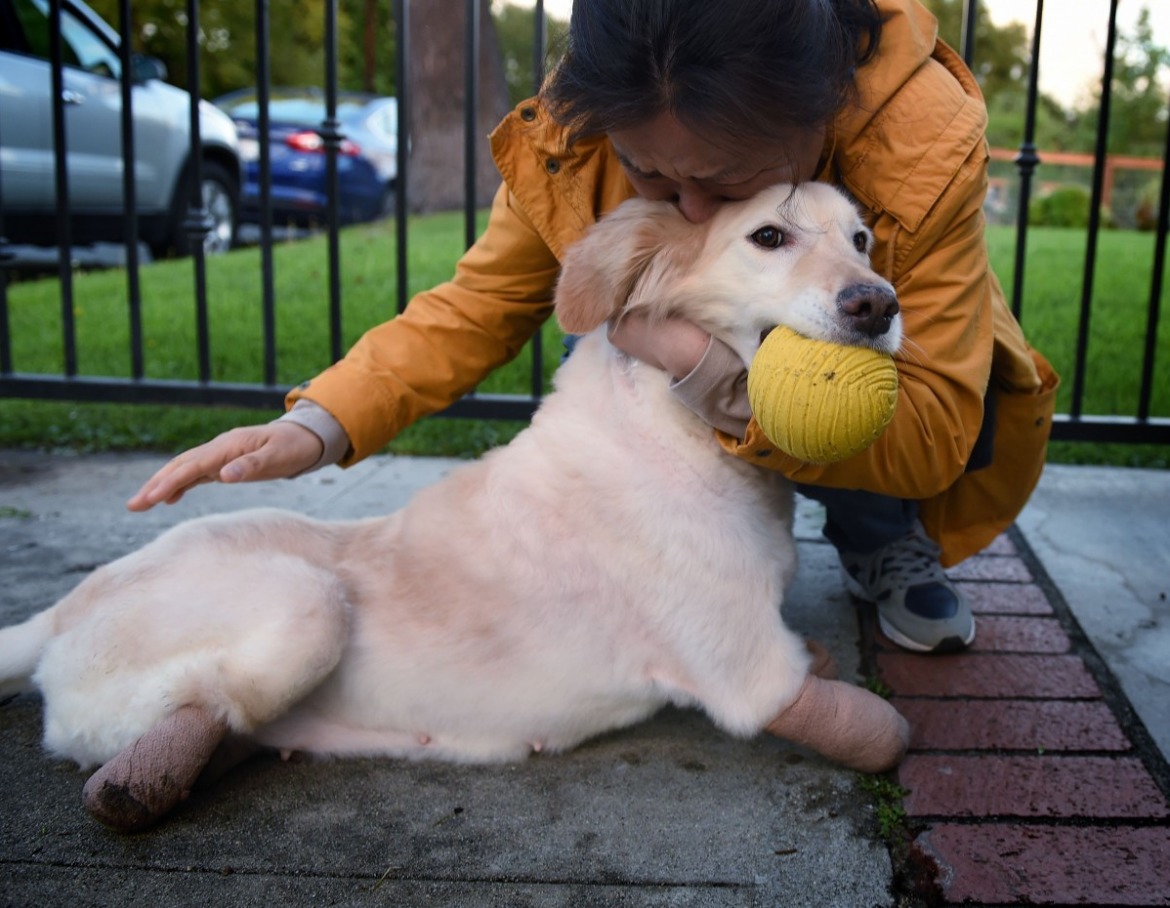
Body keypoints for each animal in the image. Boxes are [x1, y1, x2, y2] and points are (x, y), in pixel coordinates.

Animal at [0, 182, 903, 828]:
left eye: (861, 238)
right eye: (768, 237)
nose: (880, 304)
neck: (678, 429)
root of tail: (60, 609)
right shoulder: (748, 670)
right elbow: (874, 725)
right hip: (303, 605)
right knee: (195, 705)